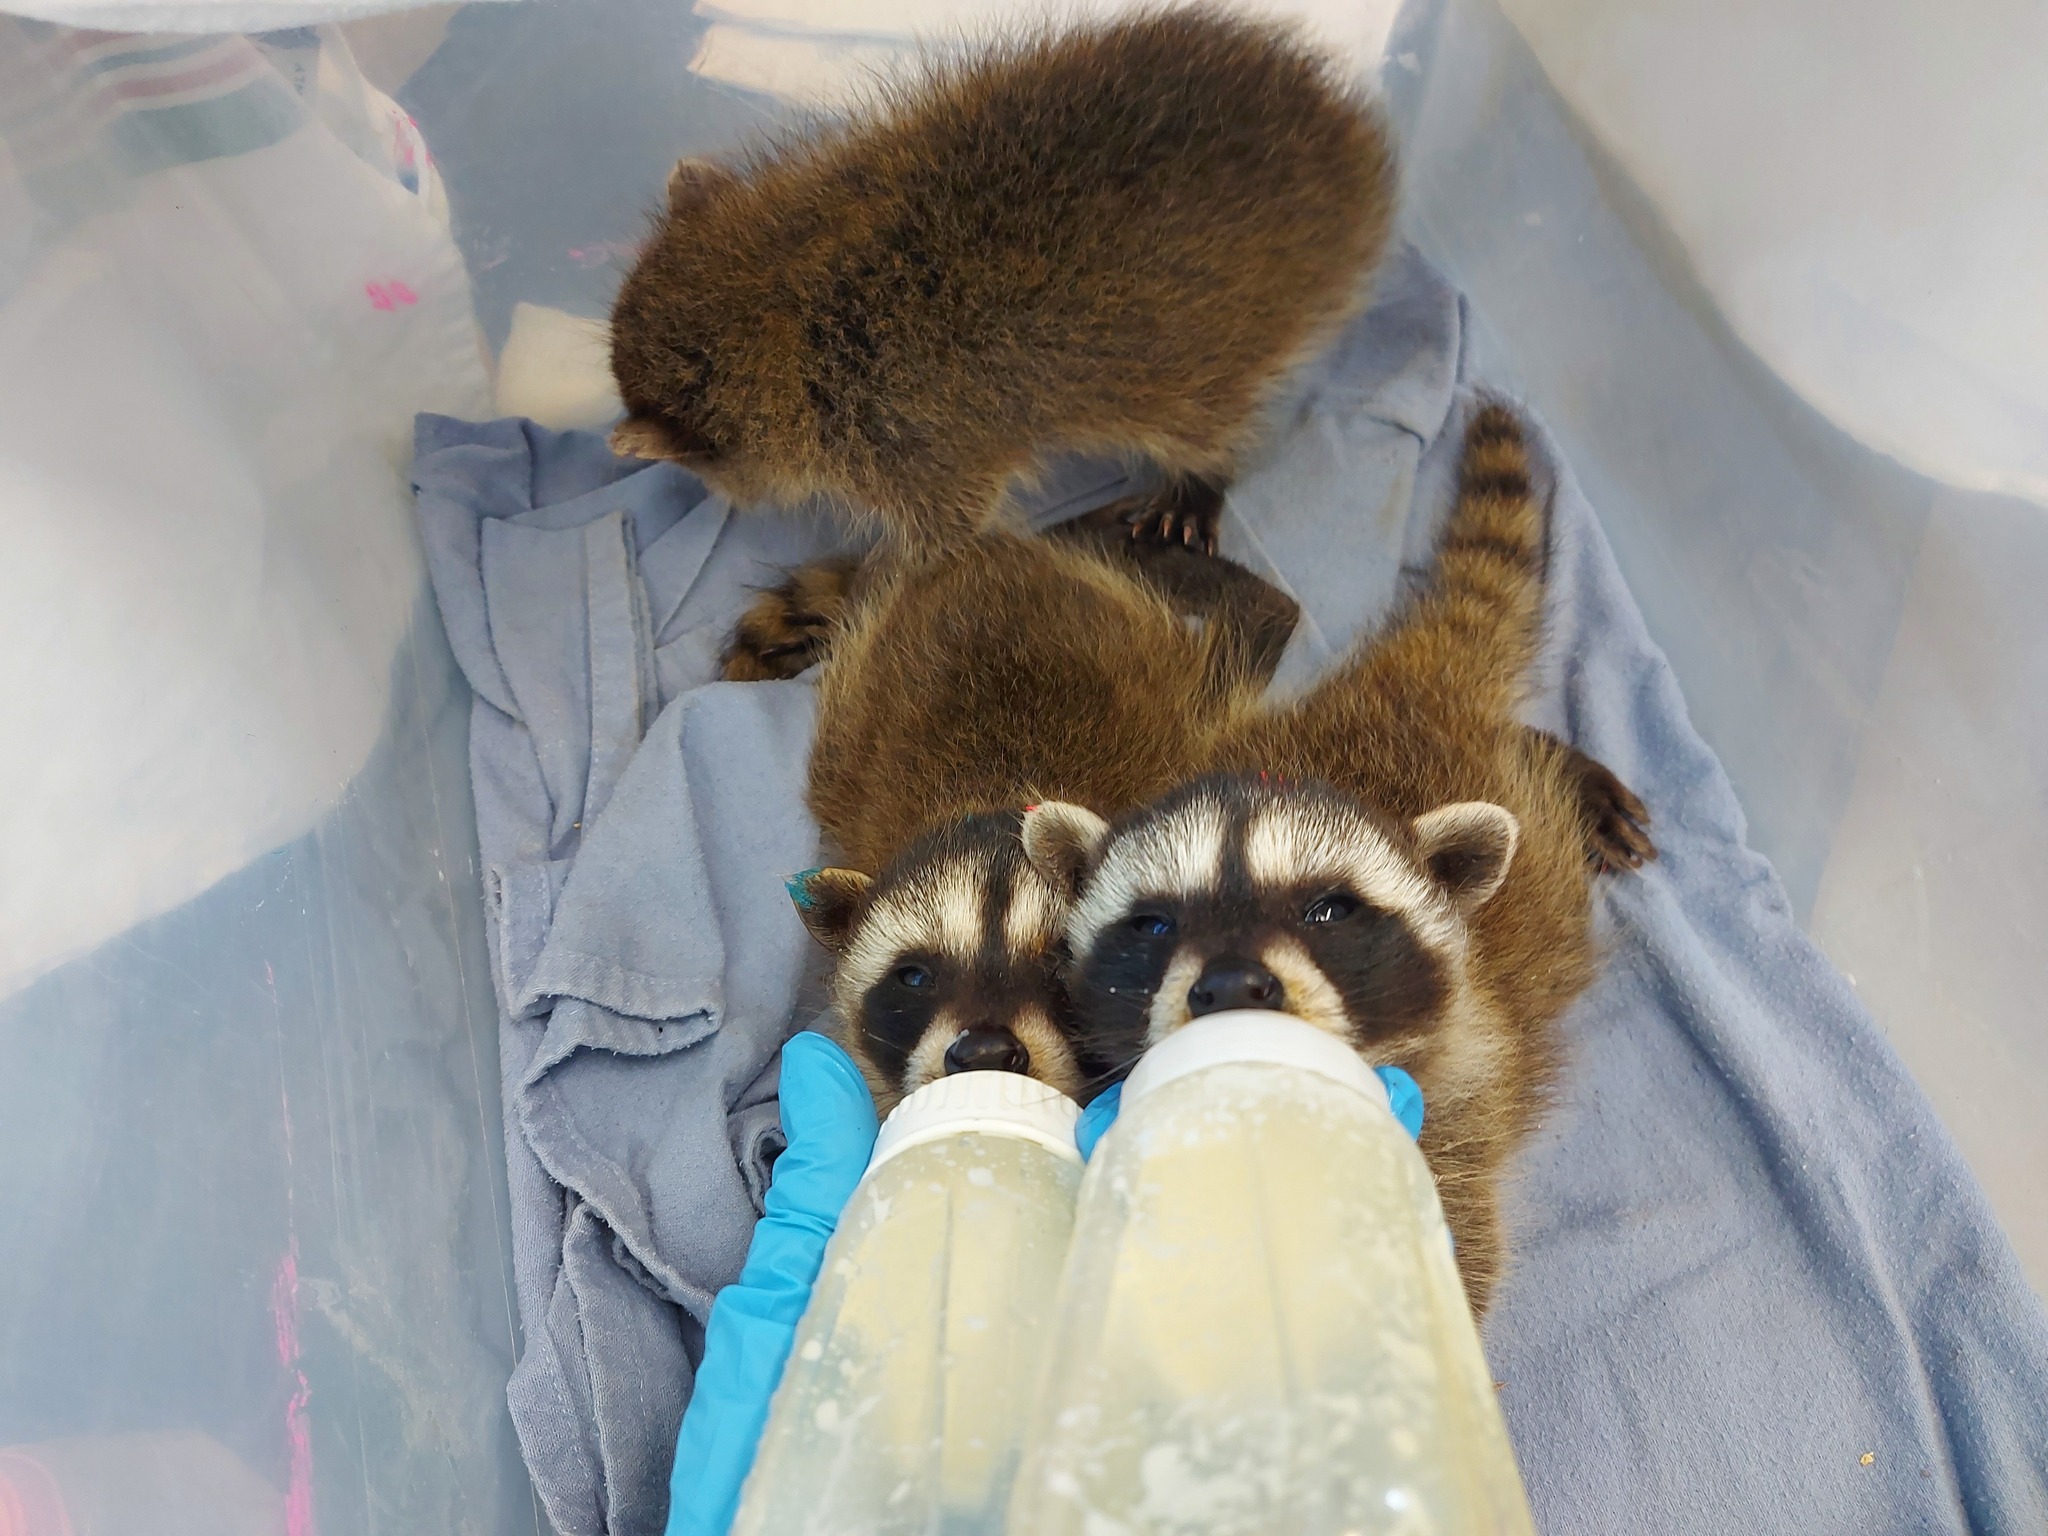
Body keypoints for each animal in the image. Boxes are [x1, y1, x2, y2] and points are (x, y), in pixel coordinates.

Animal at [608, 8, 1397, 557]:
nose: (721, 500)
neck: (781, 294)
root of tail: (1344, 147)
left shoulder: (919, 462)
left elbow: (948, 542)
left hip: (1203, 370)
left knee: (1209, 427)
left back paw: (1197, 484)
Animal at [1020, 405, 1652, 1311]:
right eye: (1154, 925)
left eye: (1330, 912)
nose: (1233, 988)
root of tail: (1405, 689)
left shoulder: (1451, 1109)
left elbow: (1452, 1259)